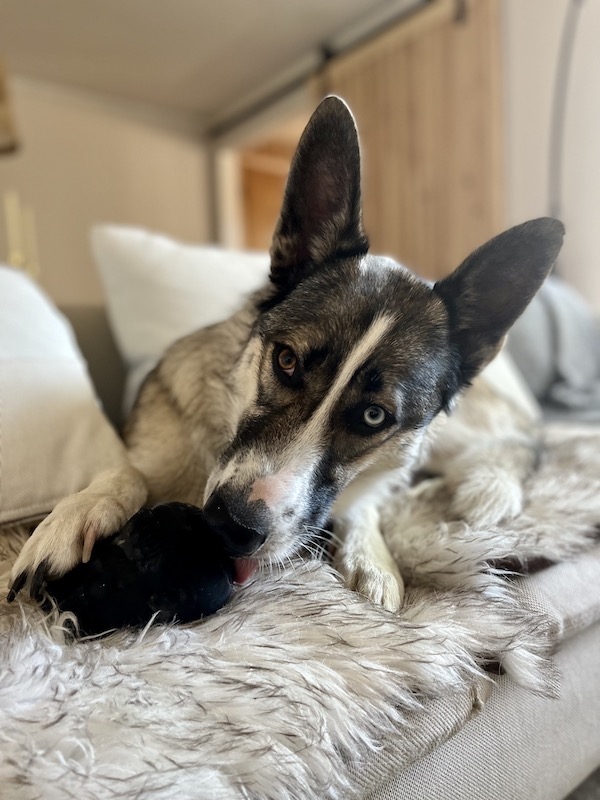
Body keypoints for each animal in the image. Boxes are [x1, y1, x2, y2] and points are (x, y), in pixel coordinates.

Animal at [7, 100, 564, 612]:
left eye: (374, 416)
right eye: (287, 361)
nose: (229, 527)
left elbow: (363, 504)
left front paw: (370, 556)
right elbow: (127, 470)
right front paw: (83, 508)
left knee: (520, 442)